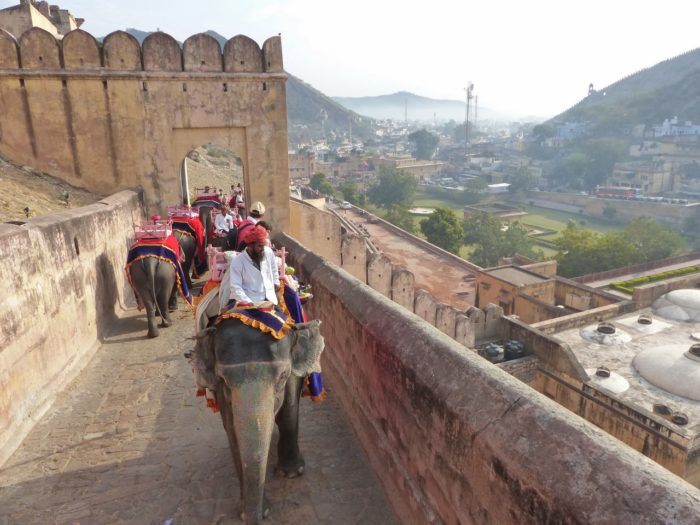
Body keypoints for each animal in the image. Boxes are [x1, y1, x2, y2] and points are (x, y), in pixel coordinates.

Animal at [190, 318, 324, 520]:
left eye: (283, 376)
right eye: (223, 380)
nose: (258, 517)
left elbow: (289, 410)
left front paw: (292, 473)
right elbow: (232, 432)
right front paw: (247, 513)